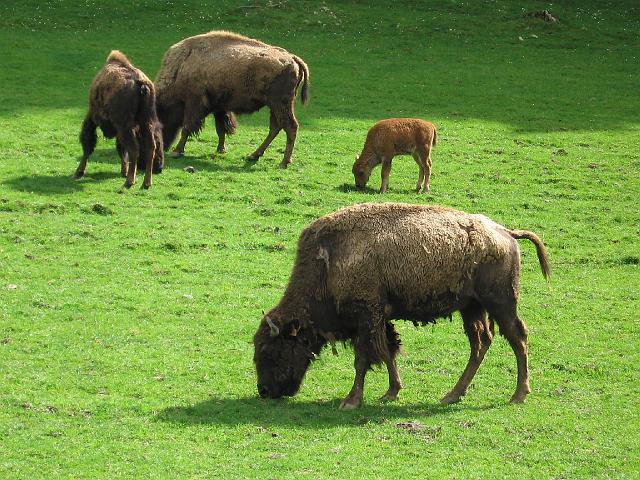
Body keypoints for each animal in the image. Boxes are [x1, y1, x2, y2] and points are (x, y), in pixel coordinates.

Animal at [75, 50, 165, 189]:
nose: (159, 168)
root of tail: (141, 83)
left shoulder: (92, 119)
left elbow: (88, 144)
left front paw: (79, 172)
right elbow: (121, 149)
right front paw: (124, 171)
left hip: (125, 126)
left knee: (133, 148)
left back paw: (129, 181)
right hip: (145, 121)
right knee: (149, 147)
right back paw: (146, 183)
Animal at [155, 30, 310, 169]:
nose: (163, 148)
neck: (182, 66)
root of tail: (292, 58)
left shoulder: (194, 104)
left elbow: (187, 128)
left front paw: (177, 151)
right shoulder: (218, 107)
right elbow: (220, 128)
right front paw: (221, 149)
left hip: (280, 104)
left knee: (290, 126)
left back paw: (283, 163)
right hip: (275, 106)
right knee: (276, 127)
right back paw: (254, 155)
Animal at [254, 202, 552, 408]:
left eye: (272, 350)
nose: (264, 391)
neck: (329, 261)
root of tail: (506, 233)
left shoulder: (367, 317)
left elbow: (364, 358)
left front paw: (351, 401)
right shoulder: (379, 319)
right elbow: (388, 352)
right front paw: (391, 392)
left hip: (501, 303)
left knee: (517, 337)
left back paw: (518, 395)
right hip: (472, 307)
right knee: (481, 342)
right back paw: (452, 394)